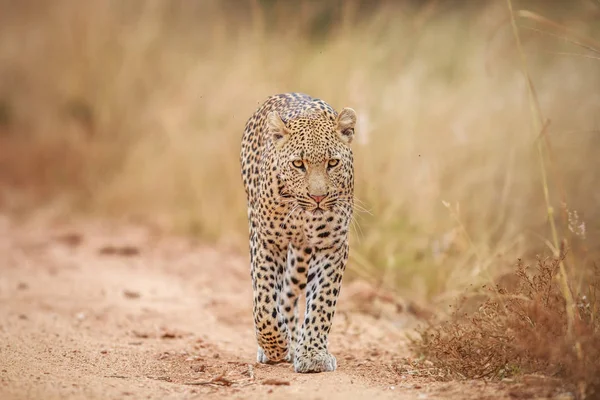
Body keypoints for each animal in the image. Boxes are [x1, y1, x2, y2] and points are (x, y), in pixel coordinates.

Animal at [239, 92, 356, 374]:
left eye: (332, 163)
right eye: (298, 164)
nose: (318, 197)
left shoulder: (333, 245)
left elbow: (322, 301)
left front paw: (313, 354)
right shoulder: (267, 242)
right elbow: (263, 303)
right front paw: (275, 345)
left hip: (300, 256)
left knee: (290, 294)